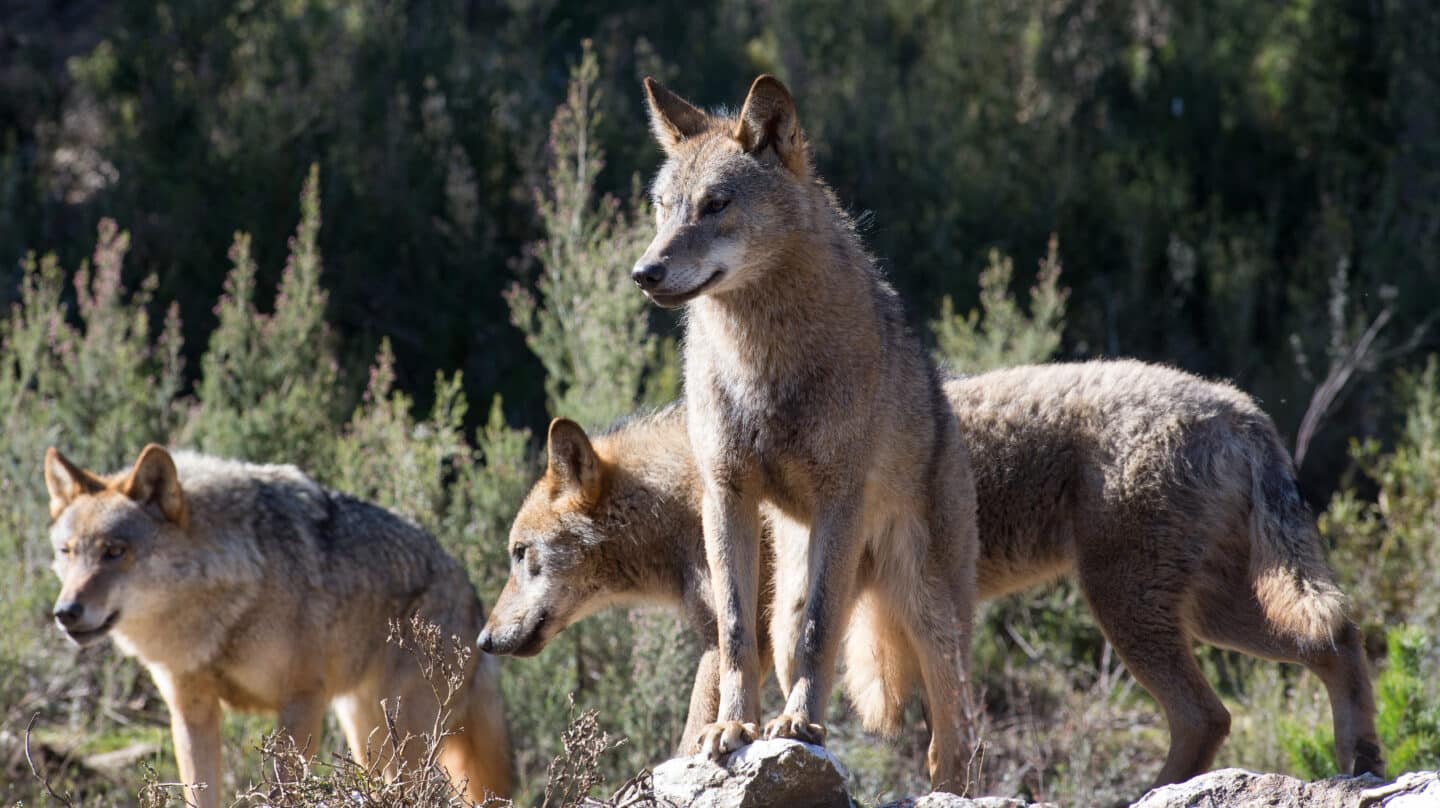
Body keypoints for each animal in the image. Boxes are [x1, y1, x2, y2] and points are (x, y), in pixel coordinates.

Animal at [480, 358, 1382, 789]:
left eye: (521, 558)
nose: (485, 641)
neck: (686, 493)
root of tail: (1241, 406)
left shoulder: (738, 640)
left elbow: (697, 729)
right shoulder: (736, 640)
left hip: (1135, 612)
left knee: (1210, 712)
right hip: (1212, 612)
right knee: (1337, 641)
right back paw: (1360, 761)